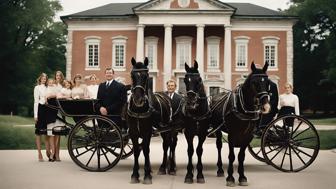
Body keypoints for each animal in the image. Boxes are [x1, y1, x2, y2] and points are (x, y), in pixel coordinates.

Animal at [126, 57, 172, 185]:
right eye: (132, 75)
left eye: (146, 76)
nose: (138, 99)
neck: (139, 109)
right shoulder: (133, 132)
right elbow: (137, 150)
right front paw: (135, 174)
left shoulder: (147, 132)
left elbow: (146, 150)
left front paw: (146, 175)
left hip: (165, 130)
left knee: (166, 146)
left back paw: (163, 167)